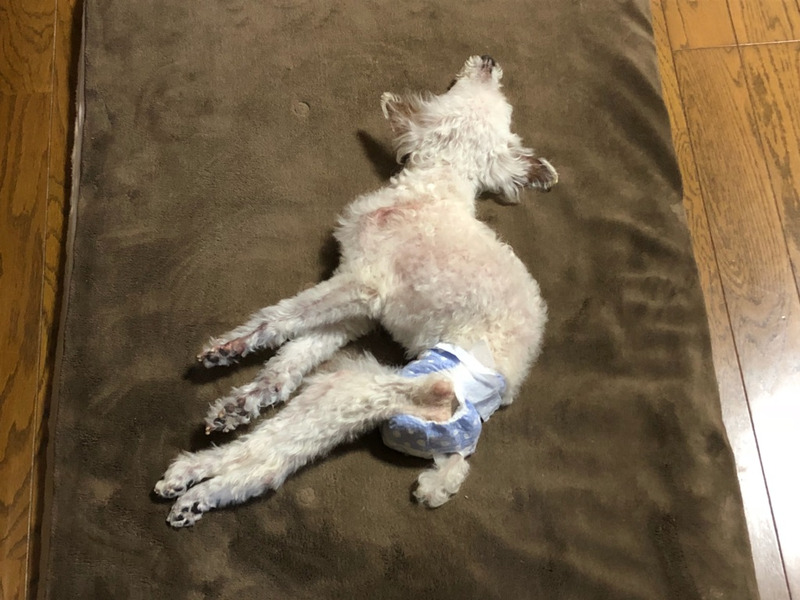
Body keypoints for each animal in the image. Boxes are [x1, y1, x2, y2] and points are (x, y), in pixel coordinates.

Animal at [154, 55, 557, 527]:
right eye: (492, 94)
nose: (489, 60)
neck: (434, 187)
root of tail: (480, 416)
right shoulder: (360, 312)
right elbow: (291, 359)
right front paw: (245, 399)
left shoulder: (360, 283)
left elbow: (281, 317)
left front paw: (227, 348)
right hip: (355, 399)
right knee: (278, 458)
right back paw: (195, 485)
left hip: (370, 383)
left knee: (286, 446)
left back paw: (197, 482)